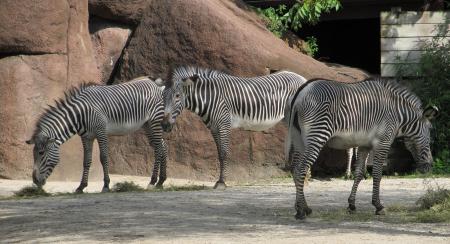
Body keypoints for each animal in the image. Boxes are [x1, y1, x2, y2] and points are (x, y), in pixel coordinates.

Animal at [25, 76, 168, 193]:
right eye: (33, 154)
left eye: (41, 153)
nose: (35, 181)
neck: (80, 114)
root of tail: (155, 84)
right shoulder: (86, 137)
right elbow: (86, 161)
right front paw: (81, 186)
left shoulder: (101, 132)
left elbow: (103, 157)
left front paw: (106, 185)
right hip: (147, 125)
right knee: (162, 146)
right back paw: (161, 181)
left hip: (154, 121)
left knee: (158, 148)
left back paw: (152, 181)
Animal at [160, 66, 308, 188]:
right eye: (162, 96)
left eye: (177, 96)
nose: (164, 125)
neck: (210, 97)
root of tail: (302, 78)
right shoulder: (214, 128)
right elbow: (219, 153)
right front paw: (219, 180)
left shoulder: (224, 124)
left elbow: (224, 153)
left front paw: (221, 182)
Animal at [286, 78, 438, 219]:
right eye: (430, 130)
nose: (429, 166)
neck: (397, 114)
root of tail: (302, 91)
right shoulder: (382, 143)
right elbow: (377, 174)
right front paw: (378, 206)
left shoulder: (364, 145)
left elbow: (359, 173)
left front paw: (351, 205)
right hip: (317, 136)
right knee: (301, 169)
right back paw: (301, 212)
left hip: (299, 139)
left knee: (295, 169)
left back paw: (303, 207)